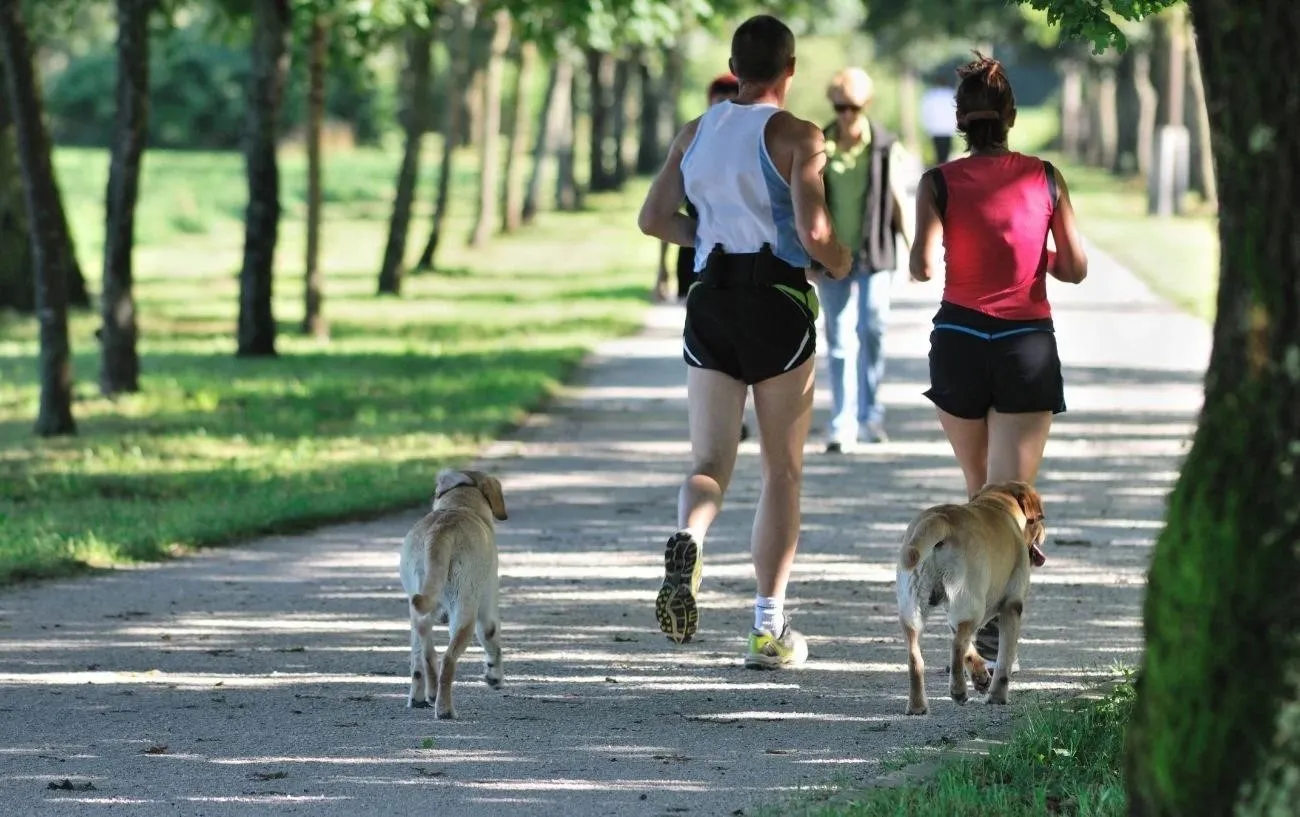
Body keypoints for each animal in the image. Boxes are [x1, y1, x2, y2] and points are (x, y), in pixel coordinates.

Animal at [400, 468, 506, 718]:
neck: (460, 504)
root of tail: (440, 531)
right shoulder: (487, 608)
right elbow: (491, 639)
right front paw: (494, 676)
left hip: (418, 608)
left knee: (423, 655)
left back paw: (424, 696)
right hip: (465, 611)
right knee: (448, 660)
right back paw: (445, 709)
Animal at [894, 478, 1045, 712]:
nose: (1045, 533)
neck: (999, 504)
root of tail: (940, 519)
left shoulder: (952, 611)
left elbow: (969, 649)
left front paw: (980, 675)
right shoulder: (1012, 607)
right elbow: (1003, 660)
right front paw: (997, 696)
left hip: (913, 610)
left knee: (916, 657)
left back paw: (918, 705)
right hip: (971, 603)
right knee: (956, 646)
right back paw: (958, 690)